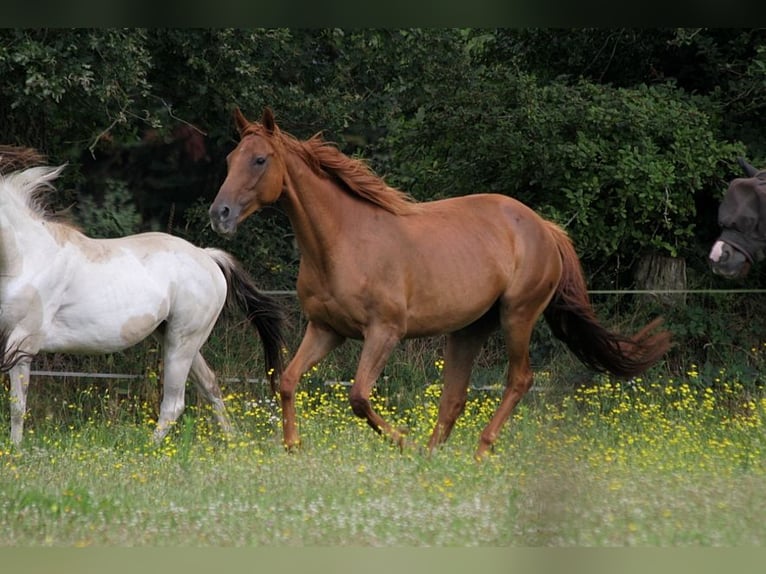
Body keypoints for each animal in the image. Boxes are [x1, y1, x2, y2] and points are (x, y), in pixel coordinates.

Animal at [0, 152, 284, 446]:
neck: (29, 258)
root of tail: (207, 256)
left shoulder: (23, 342)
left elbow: (17, 405)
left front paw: (15, 449)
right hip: (179, 340)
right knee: (210, 386)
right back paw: (234, 442)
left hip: (182, 343)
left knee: (174, 404)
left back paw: (149, 448)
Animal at [210, 107, 672, 460]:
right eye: (230, 159)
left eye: (260, 159)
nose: (220, 213)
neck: (341, 241)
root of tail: (545, 228)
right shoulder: (327, 330)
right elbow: (288, 381)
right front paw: (293, 447)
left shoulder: (384, 332)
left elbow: (358, 396)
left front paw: (403, 442)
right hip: (470, 328)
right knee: (454, 396)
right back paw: (435, 456)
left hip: (518, 316)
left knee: (518, 380)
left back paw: (478, 451)